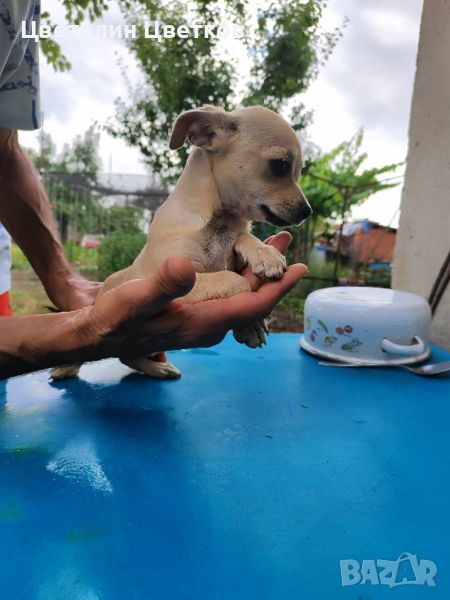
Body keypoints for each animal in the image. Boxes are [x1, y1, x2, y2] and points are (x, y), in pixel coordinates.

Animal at [51, 105, 312, 380]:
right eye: (280, 165)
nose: (308, 211)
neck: (220, 223)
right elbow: (236, 281)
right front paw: (249, 323)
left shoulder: (233, 243)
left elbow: (243, 238)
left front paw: (265, 254)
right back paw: (69, 366)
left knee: (128, 357)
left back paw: (157, 368)